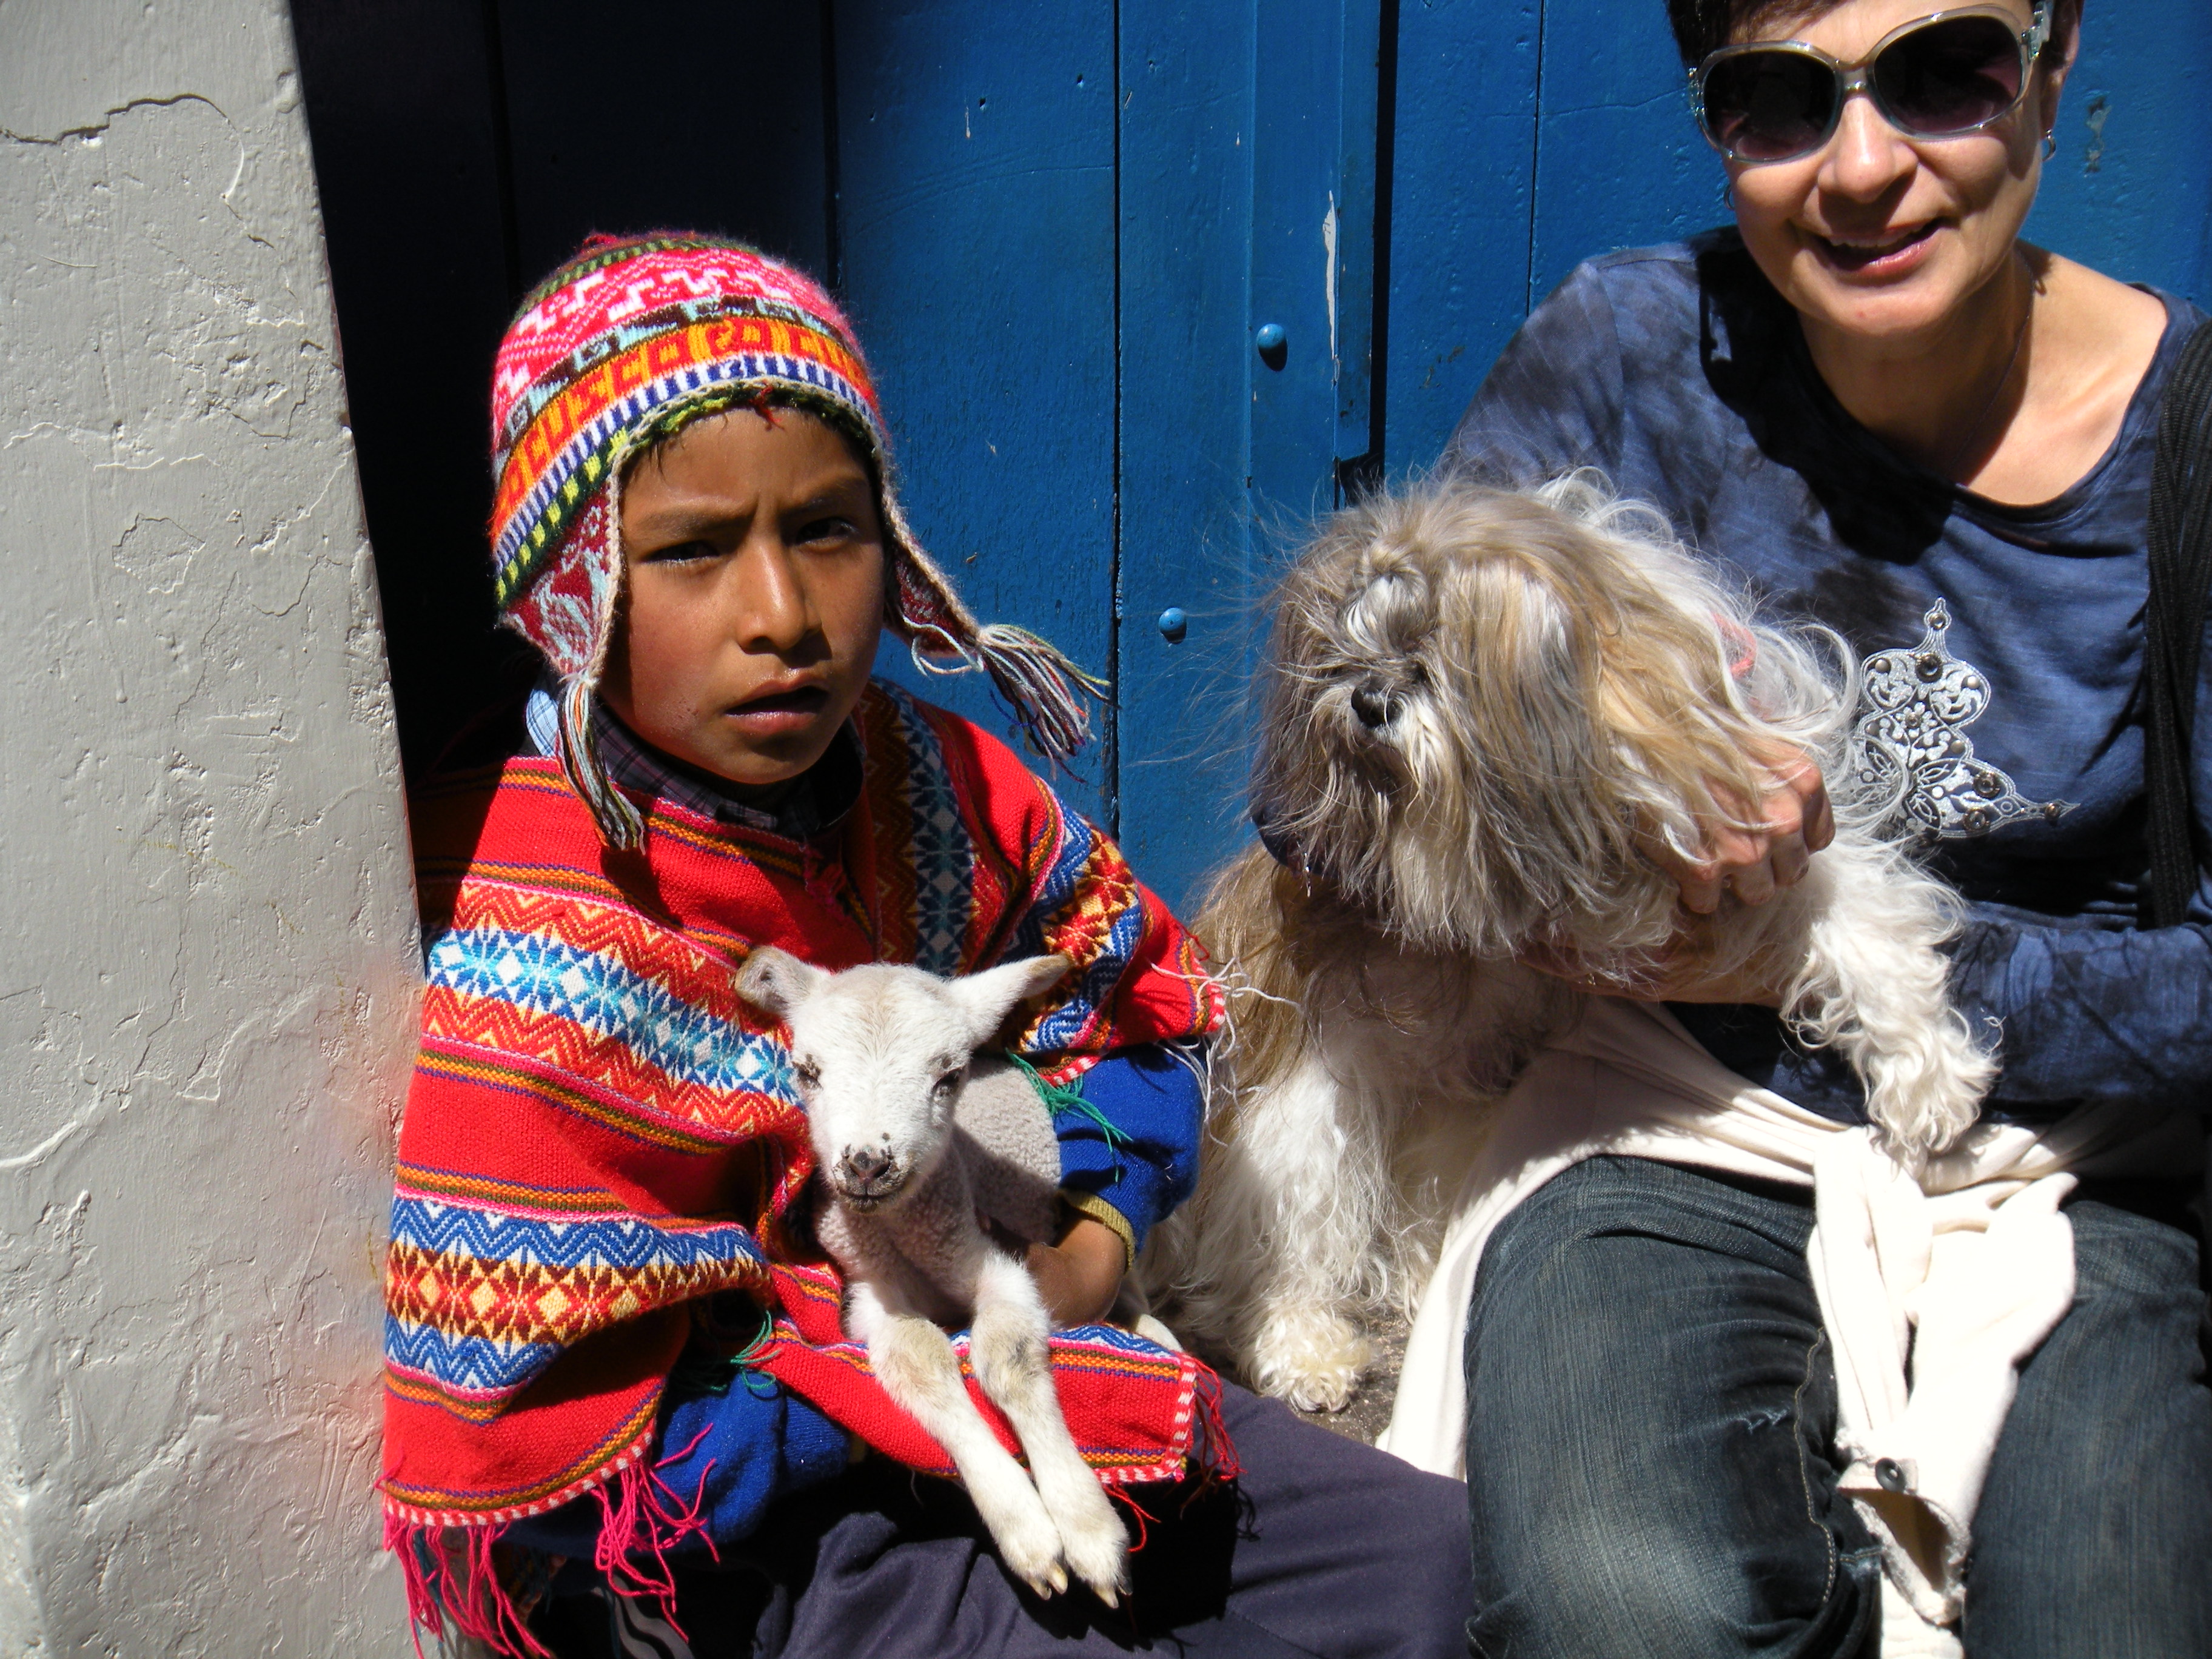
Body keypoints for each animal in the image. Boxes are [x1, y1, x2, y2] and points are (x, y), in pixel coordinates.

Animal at [734, 947, 1130, 1605]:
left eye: (948, 1078)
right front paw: (1025, 1527)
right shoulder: (872, 1291)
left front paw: (1086, 1528)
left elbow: (1010, 1357)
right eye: (807, 1071)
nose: (867, 1164)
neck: (906, 1236)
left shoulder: (992, 1260)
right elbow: (918, 1358)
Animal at [1142, 472, 1994, 1412]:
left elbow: (1868, 942)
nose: (1366, 702)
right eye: (1347, 649)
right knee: (1279, 1258)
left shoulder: (1776, 831)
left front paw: (1931, 1087)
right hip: (1301, 1118)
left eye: (1432, 661)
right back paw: (1306, 1349)